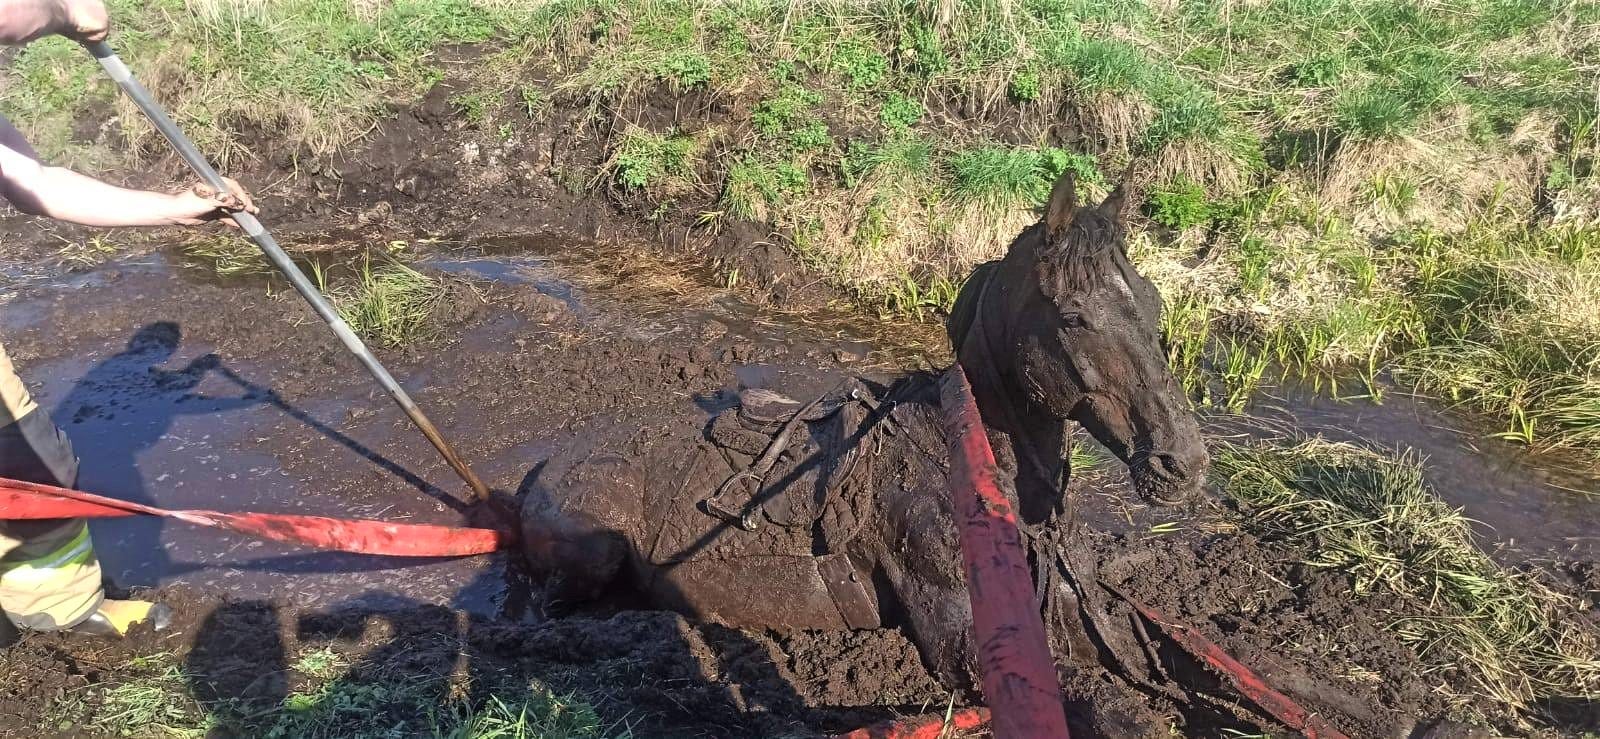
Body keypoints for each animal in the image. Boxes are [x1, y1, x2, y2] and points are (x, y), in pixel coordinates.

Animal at [524, 173, 1209, 732]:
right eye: (1073, 317)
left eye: (1151, 301)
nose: (1183, 463)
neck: (972, 467)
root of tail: (552, 463)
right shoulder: (963, 640)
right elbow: (1105, 705)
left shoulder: (1075, 613)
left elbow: (1157, 653)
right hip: (593, 552)